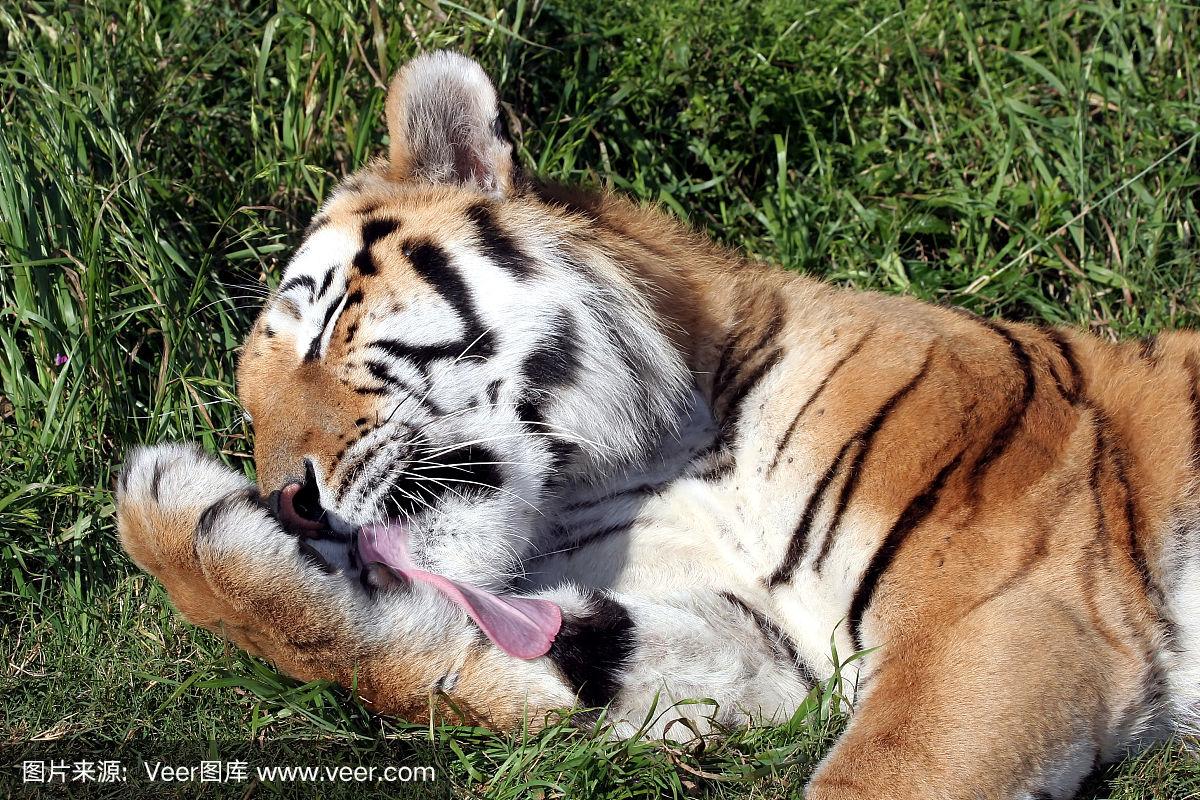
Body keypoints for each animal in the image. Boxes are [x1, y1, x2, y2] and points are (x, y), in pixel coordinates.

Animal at [114, 51, 1200, 800]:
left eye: (326, 323)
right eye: (248, 408)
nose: (286, 498)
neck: (652, 462)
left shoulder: (997, 604)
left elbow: (886, 772)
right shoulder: (756, 651)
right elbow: (450, 658)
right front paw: (184, 526)